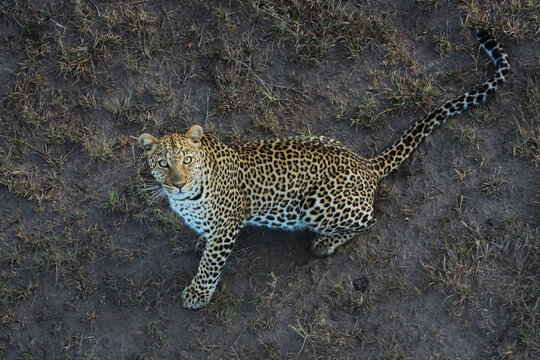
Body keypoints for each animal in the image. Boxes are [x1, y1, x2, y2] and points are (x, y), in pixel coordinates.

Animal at [138, 30, 506, 310]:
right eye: (163, 164)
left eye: (187, 160)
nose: (179, 184)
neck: (188, 198)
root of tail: (365, 164)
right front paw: (199, 241)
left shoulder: (228, 224)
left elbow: (211, 262)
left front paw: (197, 293)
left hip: (316, 203)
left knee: (369, 219)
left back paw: (325, 243)